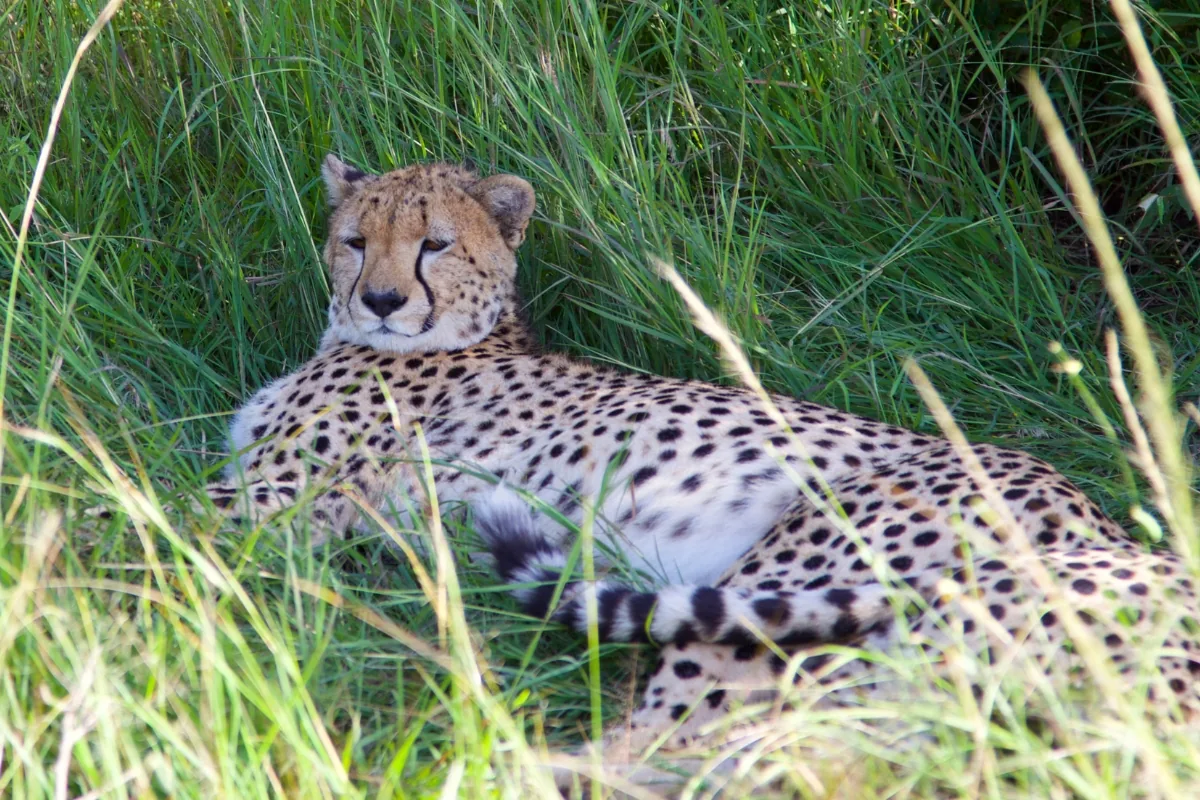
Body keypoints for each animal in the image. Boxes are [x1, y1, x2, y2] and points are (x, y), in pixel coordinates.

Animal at [205, 155, 1199, 772]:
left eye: (434, 244)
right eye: (355, 240)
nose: (379, 298)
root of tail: (1093, 515)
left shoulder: (268, 500)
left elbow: (170, 534)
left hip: (786, 583)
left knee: (686, 744)